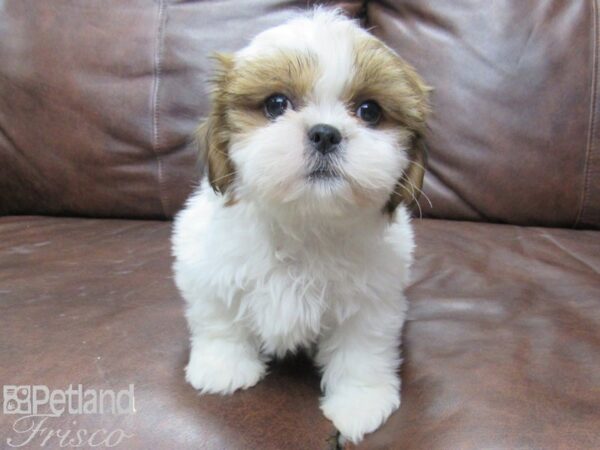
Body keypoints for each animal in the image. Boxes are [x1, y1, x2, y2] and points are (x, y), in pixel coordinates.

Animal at [171, 7, 428, 442]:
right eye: (276, 104)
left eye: (370, 111)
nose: (325, 133)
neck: (305, 222)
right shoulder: (206, 264)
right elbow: (219, 318)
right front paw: (223, 367)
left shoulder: (373, 299)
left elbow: (362, 348)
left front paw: (360, 402)